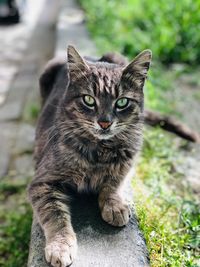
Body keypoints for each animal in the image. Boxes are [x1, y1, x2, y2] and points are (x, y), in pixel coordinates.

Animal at [27, 46, 152, 267]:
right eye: (89, 100)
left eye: (122, 102)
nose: (105, 123)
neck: (100, 151)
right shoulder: (43, 183)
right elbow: (55, 215)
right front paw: (60, 246)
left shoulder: (129, 159)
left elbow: (114, 182)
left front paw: (115, 205)